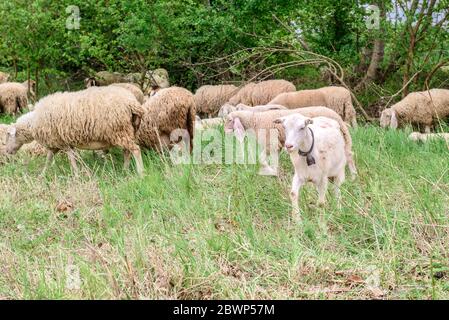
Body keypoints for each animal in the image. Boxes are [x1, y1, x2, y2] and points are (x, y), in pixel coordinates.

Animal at [5, 86, 145, 175]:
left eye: (8, 135)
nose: (7, 152)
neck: (33, 122)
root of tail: (132, 103)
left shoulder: (62, 142)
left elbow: (70, 160)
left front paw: (76, 175)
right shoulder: (58, 144)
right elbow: (49, 159)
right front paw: (42, 175)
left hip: (119, 131)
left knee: (135, 150)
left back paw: (140, 173)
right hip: (128, 130)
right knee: (127, 151)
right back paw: (125, 170)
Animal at [224, 107, 356, 178]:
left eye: (229, 120)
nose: (224, 131)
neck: (255, 120)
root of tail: (338, 118)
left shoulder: (271, 143)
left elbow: (263, 159)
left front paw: (273, 172)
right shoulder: (274, 145)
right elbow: (263, 158)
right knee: (348, 154)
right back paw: (353, 176)